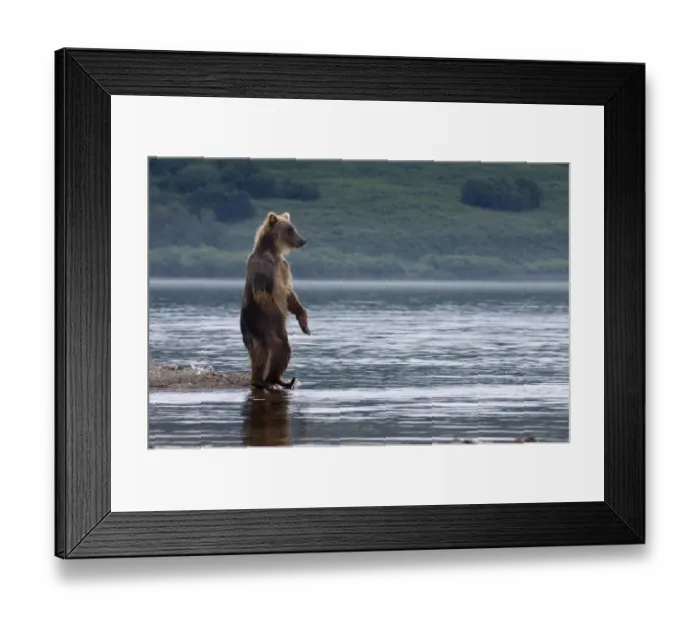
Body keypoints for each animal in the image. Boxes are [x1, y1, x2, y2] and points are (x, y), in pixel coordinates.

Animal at [239, 211, 310, 390]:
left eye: (294, 228)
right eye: (289, 230)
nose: (303, 240)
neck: (272, 253)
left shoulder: (283, 268)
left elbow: (290, 295)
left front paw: (305, 324)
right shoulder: (262, 269)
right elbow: (263, 294)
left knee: (275, 350)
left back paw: (277, 380)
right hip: (259, 324)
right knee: (270, 349)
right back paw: (263, 381)